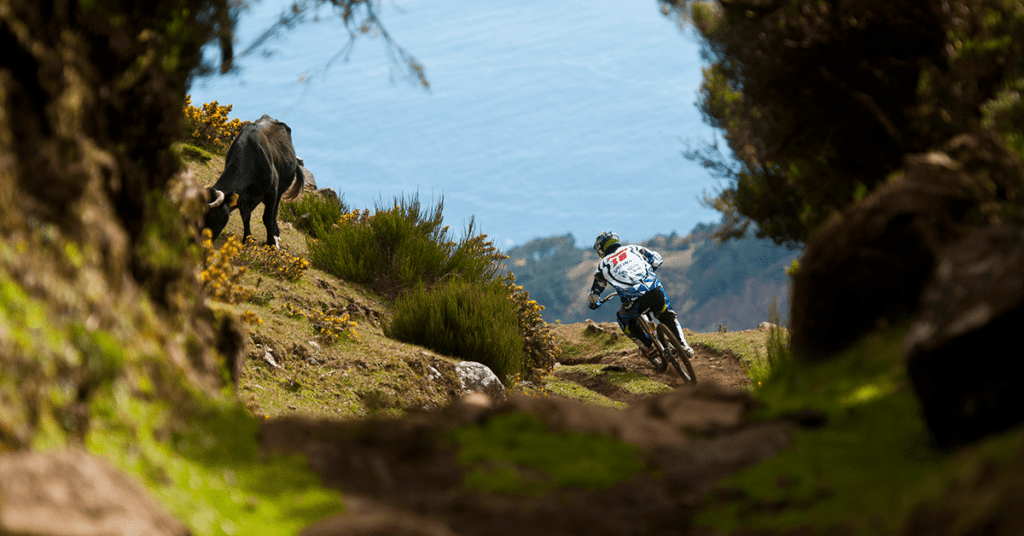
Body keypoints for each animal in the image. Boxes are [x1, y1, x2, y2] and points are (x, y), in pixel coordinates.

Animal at [205, 114, 303, 249]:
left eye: (214, 216)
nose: (203, 240)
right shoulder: (243, 197)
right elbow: (246, 216)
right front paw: (248, 238)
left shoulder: (272, 191)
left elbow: (267, 217)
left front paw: (271, 243)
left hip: (280, 191)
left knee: (274, 212)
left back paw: (276, 234)